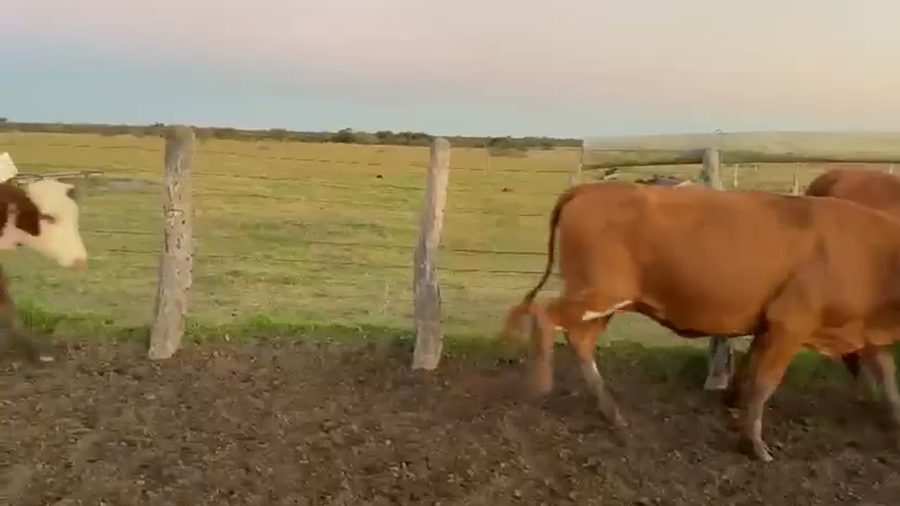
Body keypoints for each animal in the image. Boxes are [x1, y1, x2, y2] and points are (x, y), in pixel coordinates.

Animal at [500, 180, 900, 461]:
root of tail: (589, 188)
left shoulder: (846, 332)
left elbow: (887, 373)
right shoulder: (789, 323)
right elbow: (765, 384)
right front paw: (755, 445)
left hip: (608, 303)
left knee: (578, 340)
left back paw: (613, 414)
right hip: (598, 294)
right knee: (544, 317)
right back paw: (540, 383)